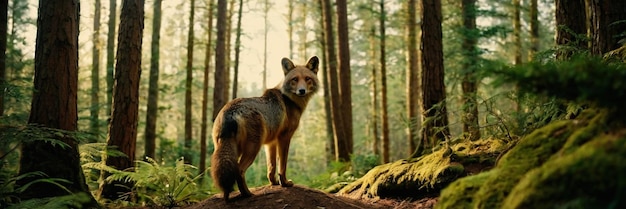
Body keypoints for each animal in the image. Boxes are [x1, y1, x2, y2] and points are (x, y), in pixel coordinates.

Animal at [210, 56, 320, 202]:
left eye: (307, 78)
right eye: (295, 79)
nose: (302, 91)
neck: (289, 100)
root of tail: (230, 111)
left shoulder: (270, 143)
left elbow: (271, 168)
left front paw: (274, 183)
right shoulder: (284, 138)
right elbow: (282, 166)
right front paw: (285, 183)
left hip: (229, 151)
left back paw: (227, 197)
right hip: (252, 149)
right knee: (239, 170)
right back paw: (247, 194)